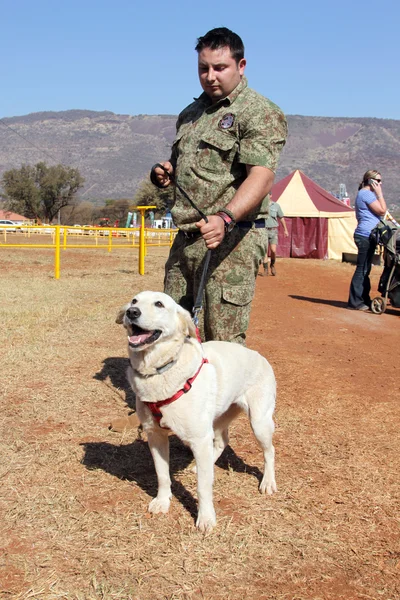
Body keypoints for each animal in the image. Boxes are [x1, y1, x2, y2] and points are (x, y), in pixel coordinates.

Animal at [117, 292, 276, 532]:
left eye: (159, 304)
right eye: (134, 301)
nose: (131, 312)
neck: (160, 371)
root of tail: (260, 356)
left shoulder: (199, 438)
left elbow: (203, 487)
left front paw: (206, 518)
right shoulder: (155, 435)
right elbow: (162, 475)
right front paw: (162, 502)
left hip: (259, 423)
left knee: (270, 451)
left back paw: (267, 482)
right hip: (218, 418)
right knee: (222, 441)